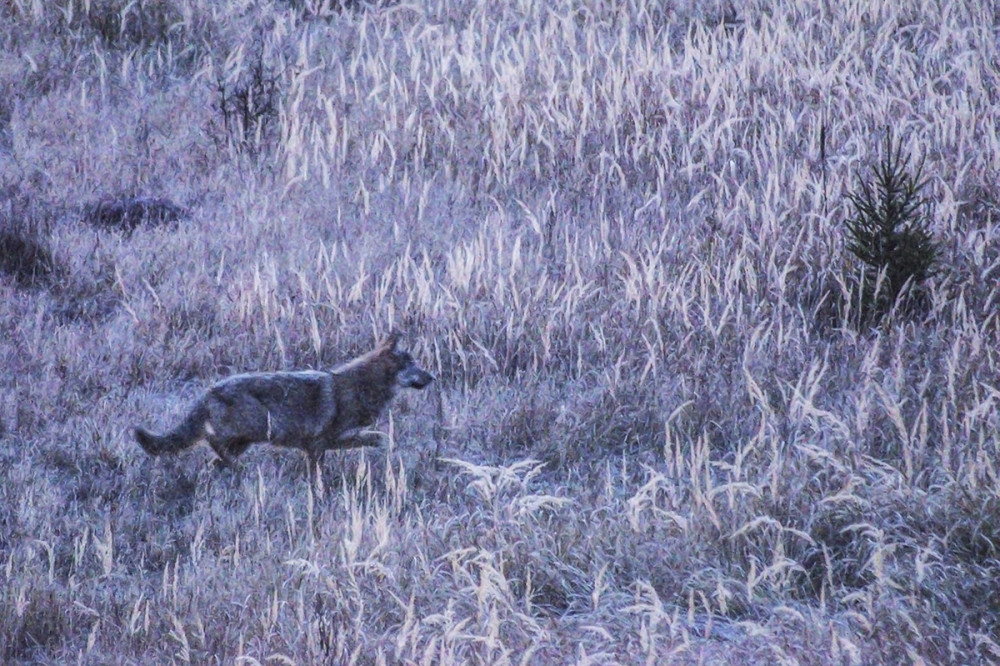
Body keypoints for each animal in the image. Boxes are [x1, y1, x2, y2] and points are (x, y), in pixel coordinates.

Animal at [135, 332, 432, 478]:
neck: (362, 385)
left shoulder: (332, 442)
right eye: (412, 365)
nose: (433, 377)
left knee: (216, 458)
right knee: (212, 443)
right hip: (253, 430)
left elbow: (377, 437)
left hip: (246, 440)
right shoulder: (319, 444)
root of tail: (208, 391)